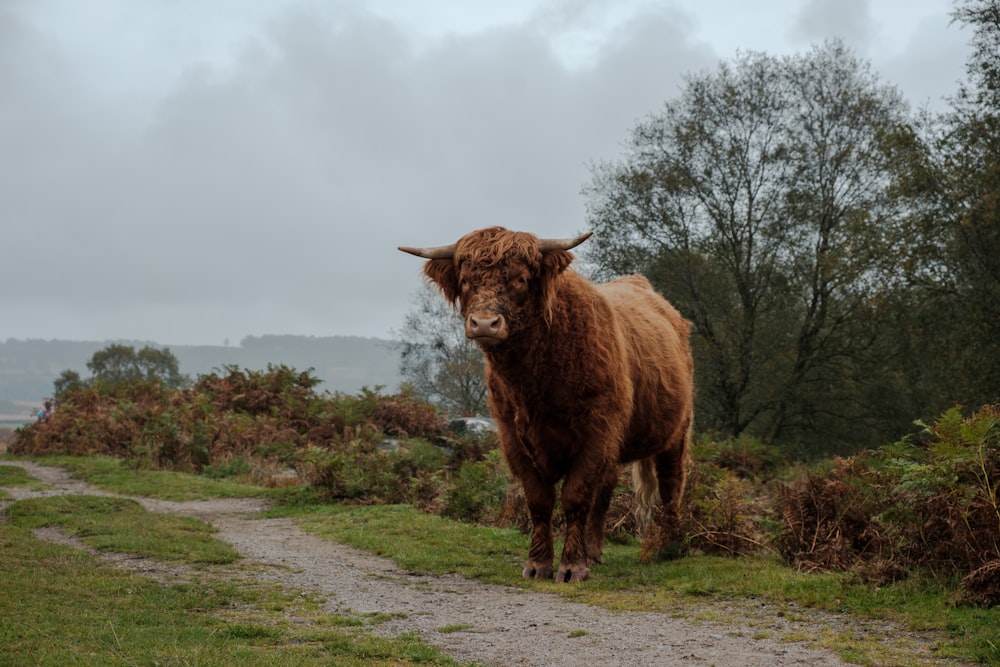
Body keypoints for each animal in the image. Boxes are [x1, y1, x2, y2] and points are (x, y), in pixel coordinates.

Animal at [400, 227, 696, 580]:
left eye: (520, 279)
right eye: (466, 280)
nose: (484, 323)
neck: (535, 384)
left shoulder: (597, 431)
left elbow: (576, 495)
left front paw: (572, 567)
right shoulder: (513, 436)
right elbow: (539, 499)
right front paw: (538, 563)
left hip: (676, 431)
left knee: (671, 484)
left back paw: (671, 547)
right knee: (607, 489)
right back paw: (594, 550)